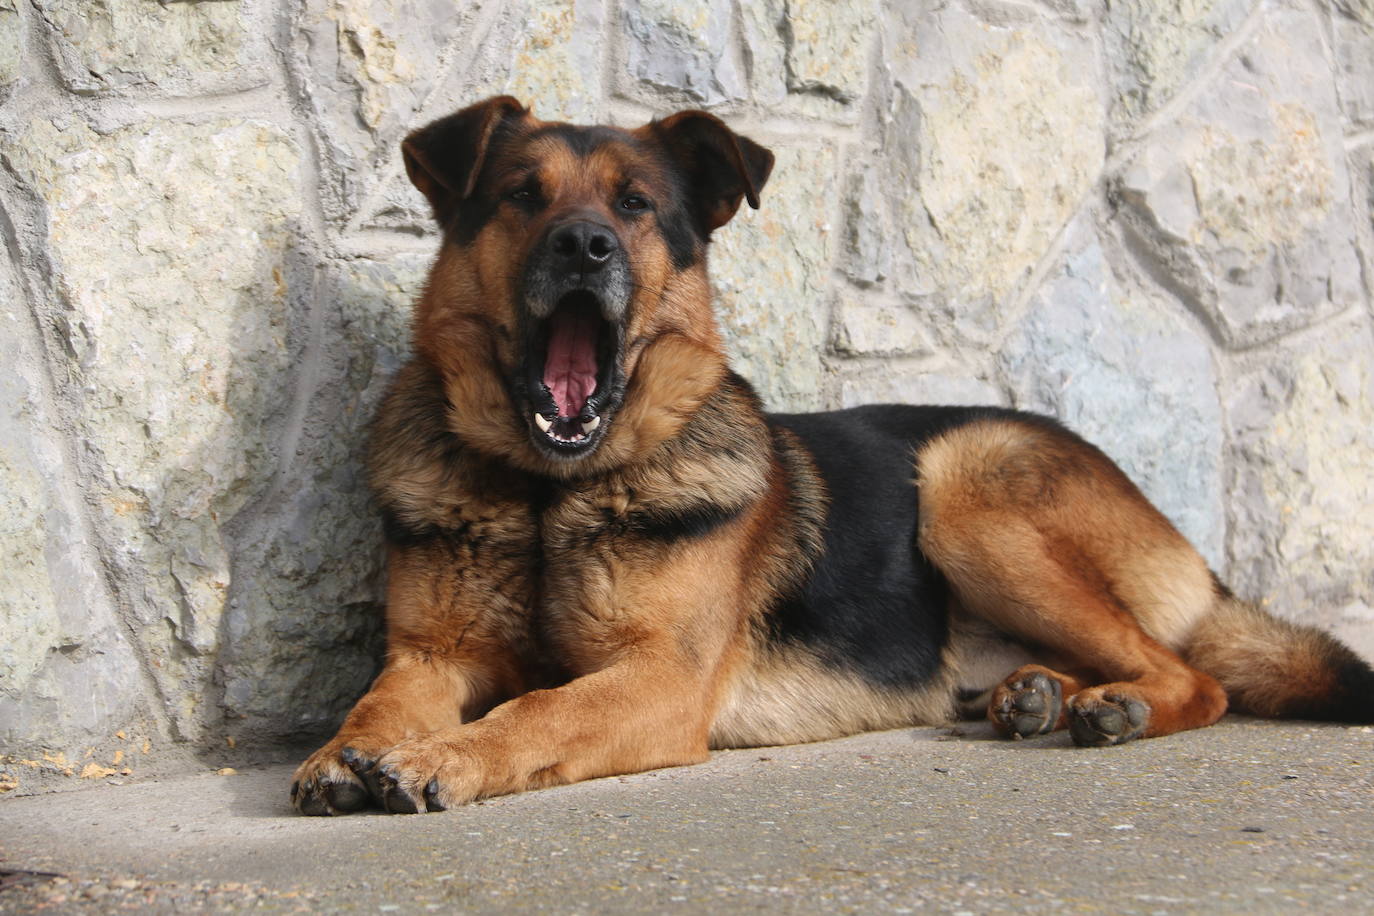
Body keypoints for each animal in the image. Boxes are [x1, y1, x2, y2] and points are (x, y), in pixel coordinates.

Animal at [289, 98, 1374, 818]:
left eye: (636, 207)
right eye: (522, 195)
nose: (585, 246)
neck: (547, 494)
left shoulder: (659, 683)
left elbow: (539, 711)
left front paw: (448, 757)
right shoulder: (435, 655)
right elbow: (382, 696)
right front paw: (352, 749)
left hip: (962, 484)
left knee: (1194, 675)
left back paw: (1114, 708)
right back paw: (1037, 695)